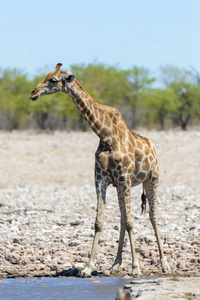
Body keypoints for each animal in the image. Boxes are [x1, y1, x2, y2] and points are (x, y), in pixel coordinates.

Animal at [30, 62, 170, 276]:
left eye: (53, 80)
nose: (33, 93)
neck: (105, 135)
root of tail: (152, 146)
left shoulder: (124, 178)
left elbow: (131, 222)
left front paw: (136, 268)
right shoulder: (101, 180)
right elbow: (100, 223)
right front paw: (87, 268)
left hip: (152, 179)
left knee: (153, 216)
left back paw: (164, 264)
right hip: (123, 187)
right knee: (123, 219)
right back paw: (116, 264)